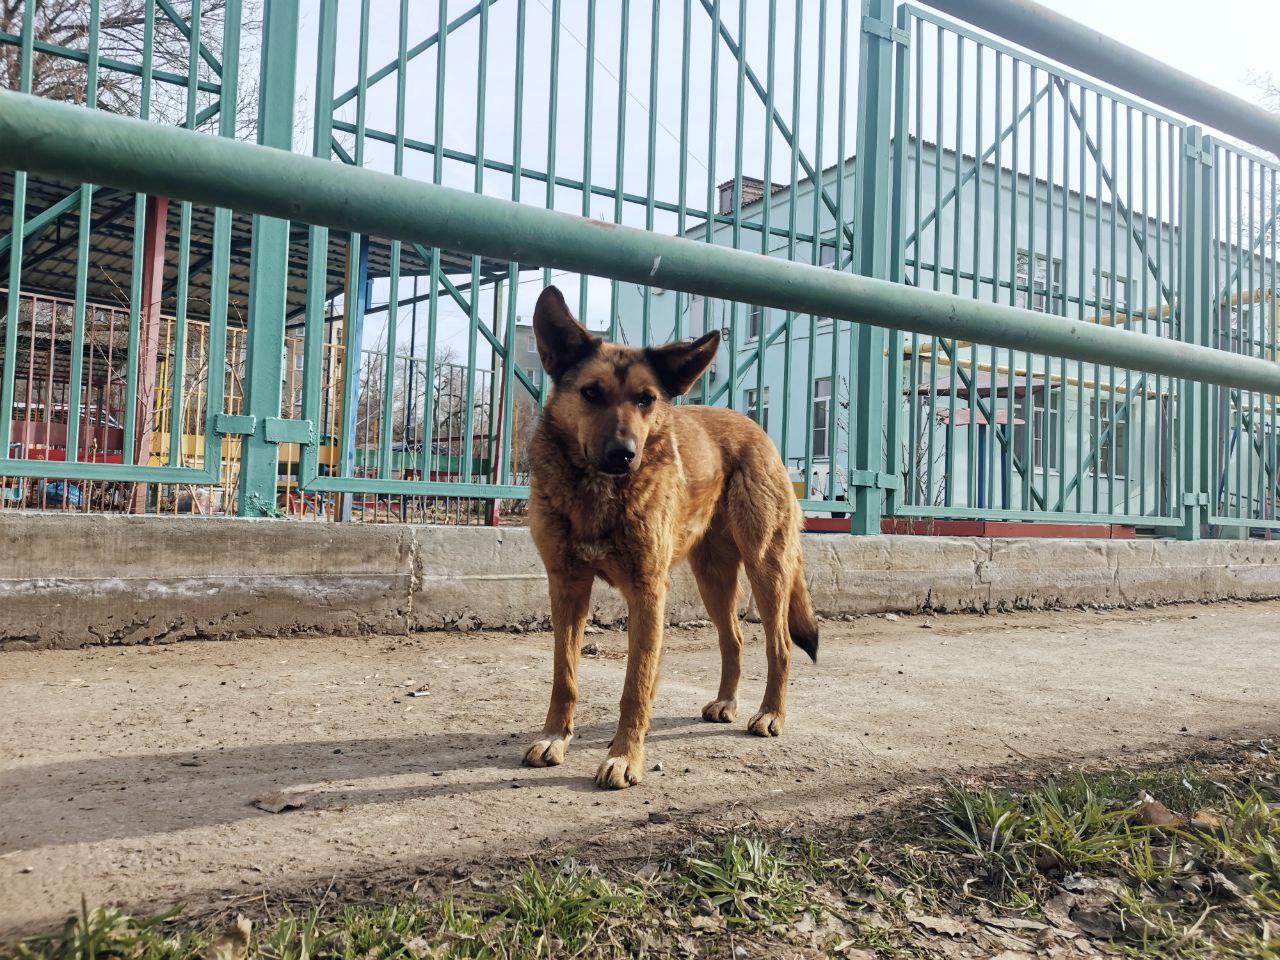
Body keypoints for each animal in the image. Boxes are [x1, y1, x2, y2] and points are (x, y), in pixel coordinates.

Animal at [522, 285, 814, 788]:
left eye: (646, 399)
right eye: (590, 393)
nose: (623, 455)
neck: (601, 494)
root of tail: (755, 426)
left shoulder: (647, 592)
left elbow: (636, 686)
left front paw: (625, 757)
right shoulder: (567, 587)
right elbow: (565, 676)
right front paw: (555, 736)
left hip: (766, 568)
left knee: (780, 645)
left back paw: (770, 713)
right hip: (713, 580)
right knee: (734, 639)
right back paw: (727, 702)